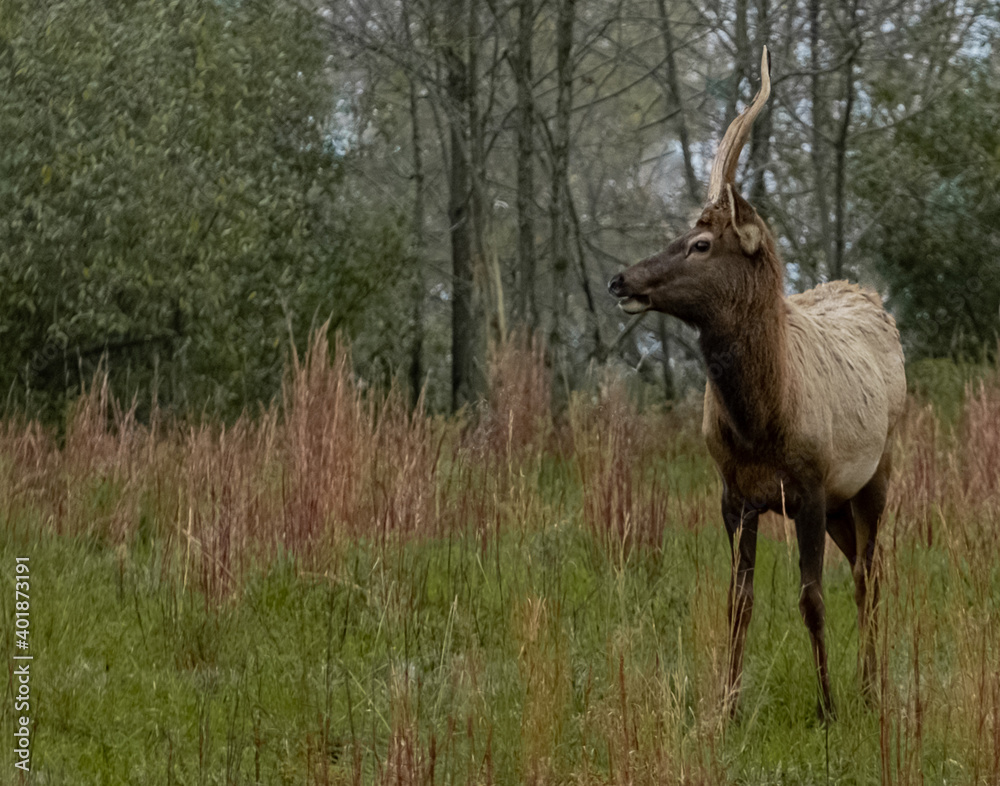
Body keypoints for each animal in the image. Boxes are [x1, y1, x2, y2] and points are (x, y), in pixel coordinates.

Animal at [608, 44, 908, 716]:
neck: (762, 422)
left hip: (877, 473)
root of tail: (870, 296)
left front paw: (827, 707)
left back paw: (871, 688)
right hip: (847, 500)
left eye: (700, 243)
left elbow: (811, 598)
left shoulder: (812, 488)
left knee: (871, 575)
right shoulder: (734, 495)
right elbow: (738, 602)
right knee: (865, 570)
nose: (621, 279)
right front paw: (726, 706)